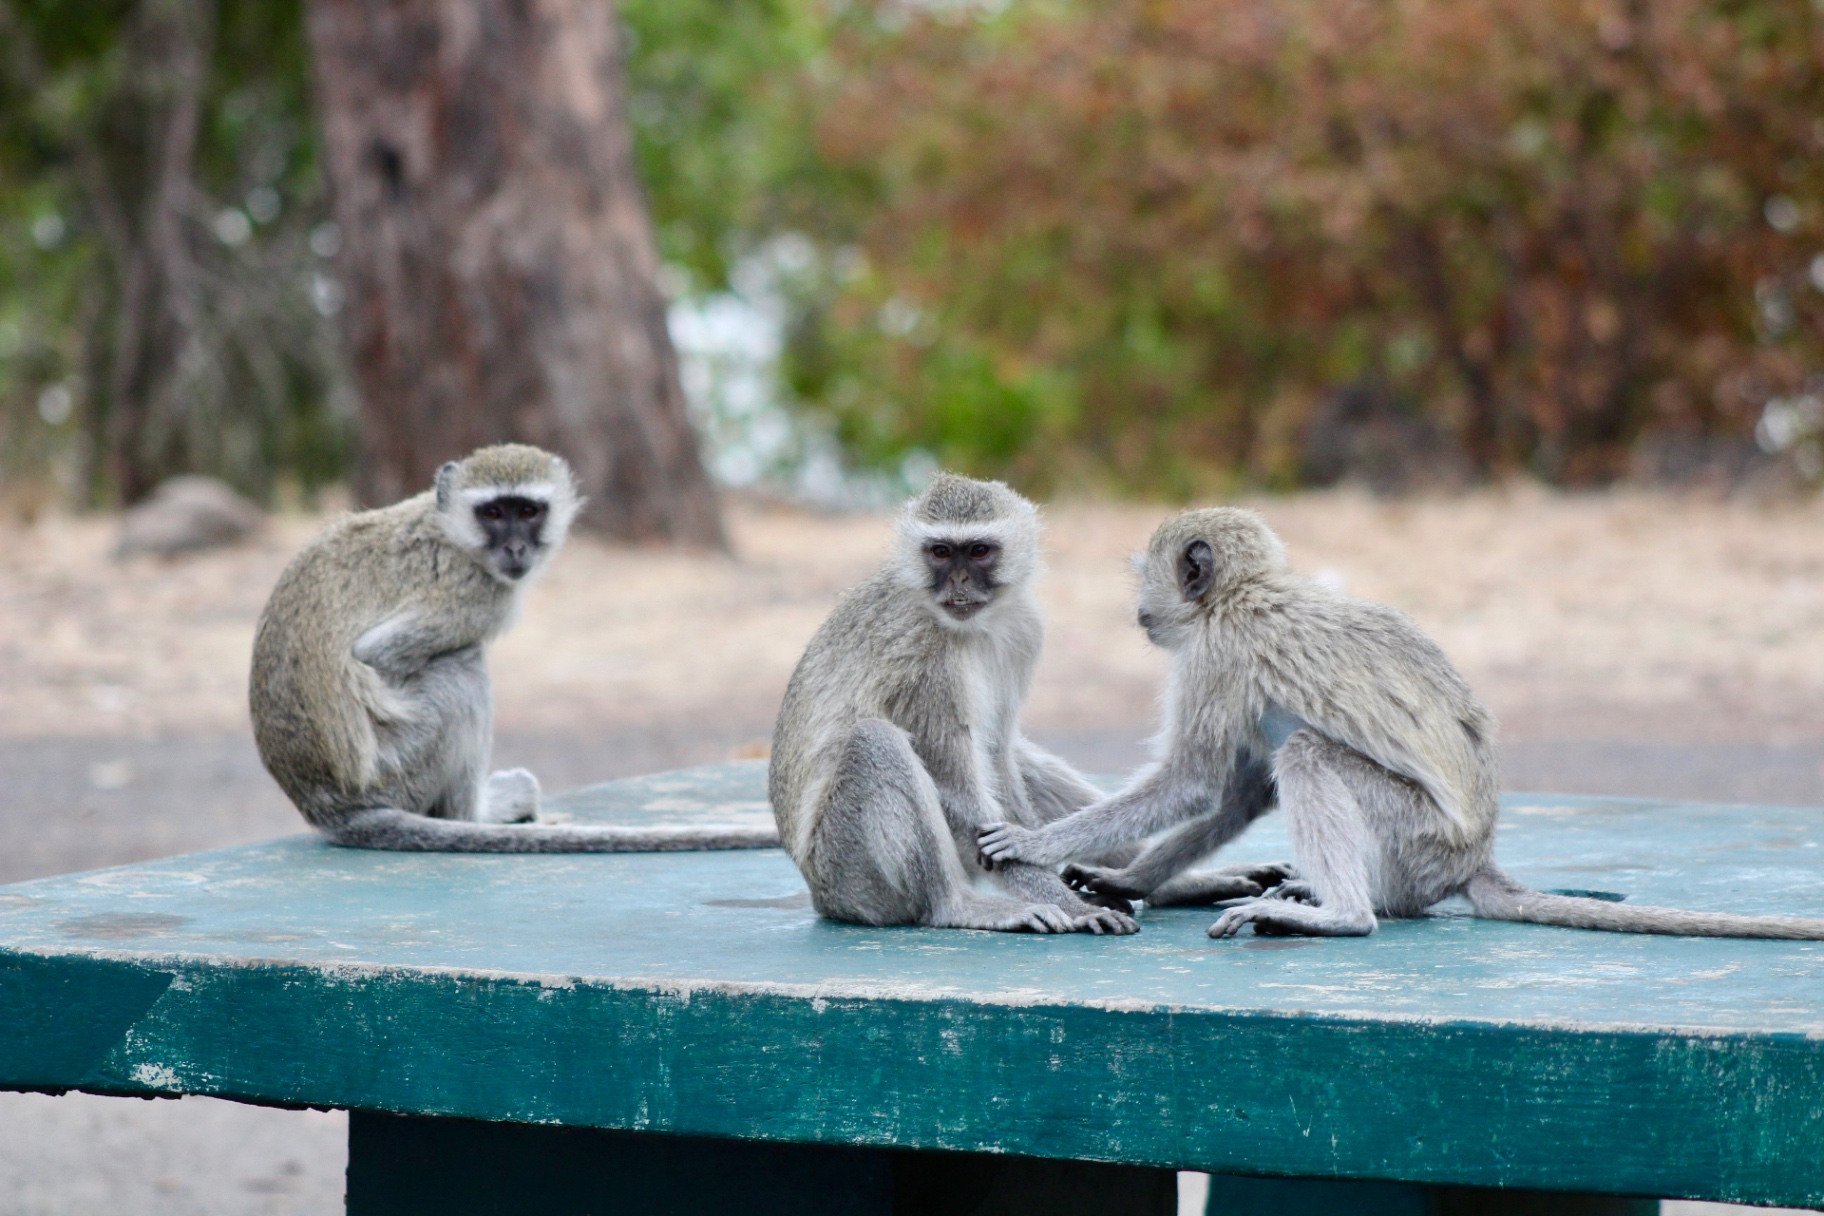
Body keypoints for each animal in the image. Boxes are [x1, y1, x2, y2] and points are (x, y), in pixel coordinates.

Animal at [250, 443, 776, 853]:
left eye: (527, 511)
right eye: (492, 513)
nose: (516, 550)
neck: (448, 529)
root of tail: (326, 805)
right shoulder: (476, 598)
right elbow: (372, 656)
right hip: (396, 771)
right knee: (462, 668)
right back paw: (476, 814)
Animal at [769, 474, 1281, 934]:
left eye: (978, 551)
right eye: (940, 552)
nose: (958, 582)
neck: (967, 625)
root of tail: (821, 896)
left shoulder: (1024, 629)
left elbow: (997, 754)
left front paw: (1047, 860)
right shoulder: (920, 656)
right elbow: (957, 789)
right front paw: (1075, 907)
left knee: (1011, 758)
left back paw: (1168, 884)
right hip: (850, 875)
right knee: (875, 741)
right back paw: (956, 907)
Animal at [979, 506, 1824, 941]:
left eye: (1148, 583)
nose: (1139, 613)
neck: (1246, 595)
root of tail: (1470, 860)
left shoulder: (1217, 657)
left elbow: (1190, 783)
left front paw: (1034, 843)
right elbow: (1238, 793)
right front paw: (1126, 877)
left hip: (1415, 838)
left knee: (1311, 755)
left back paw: (1345, 917)